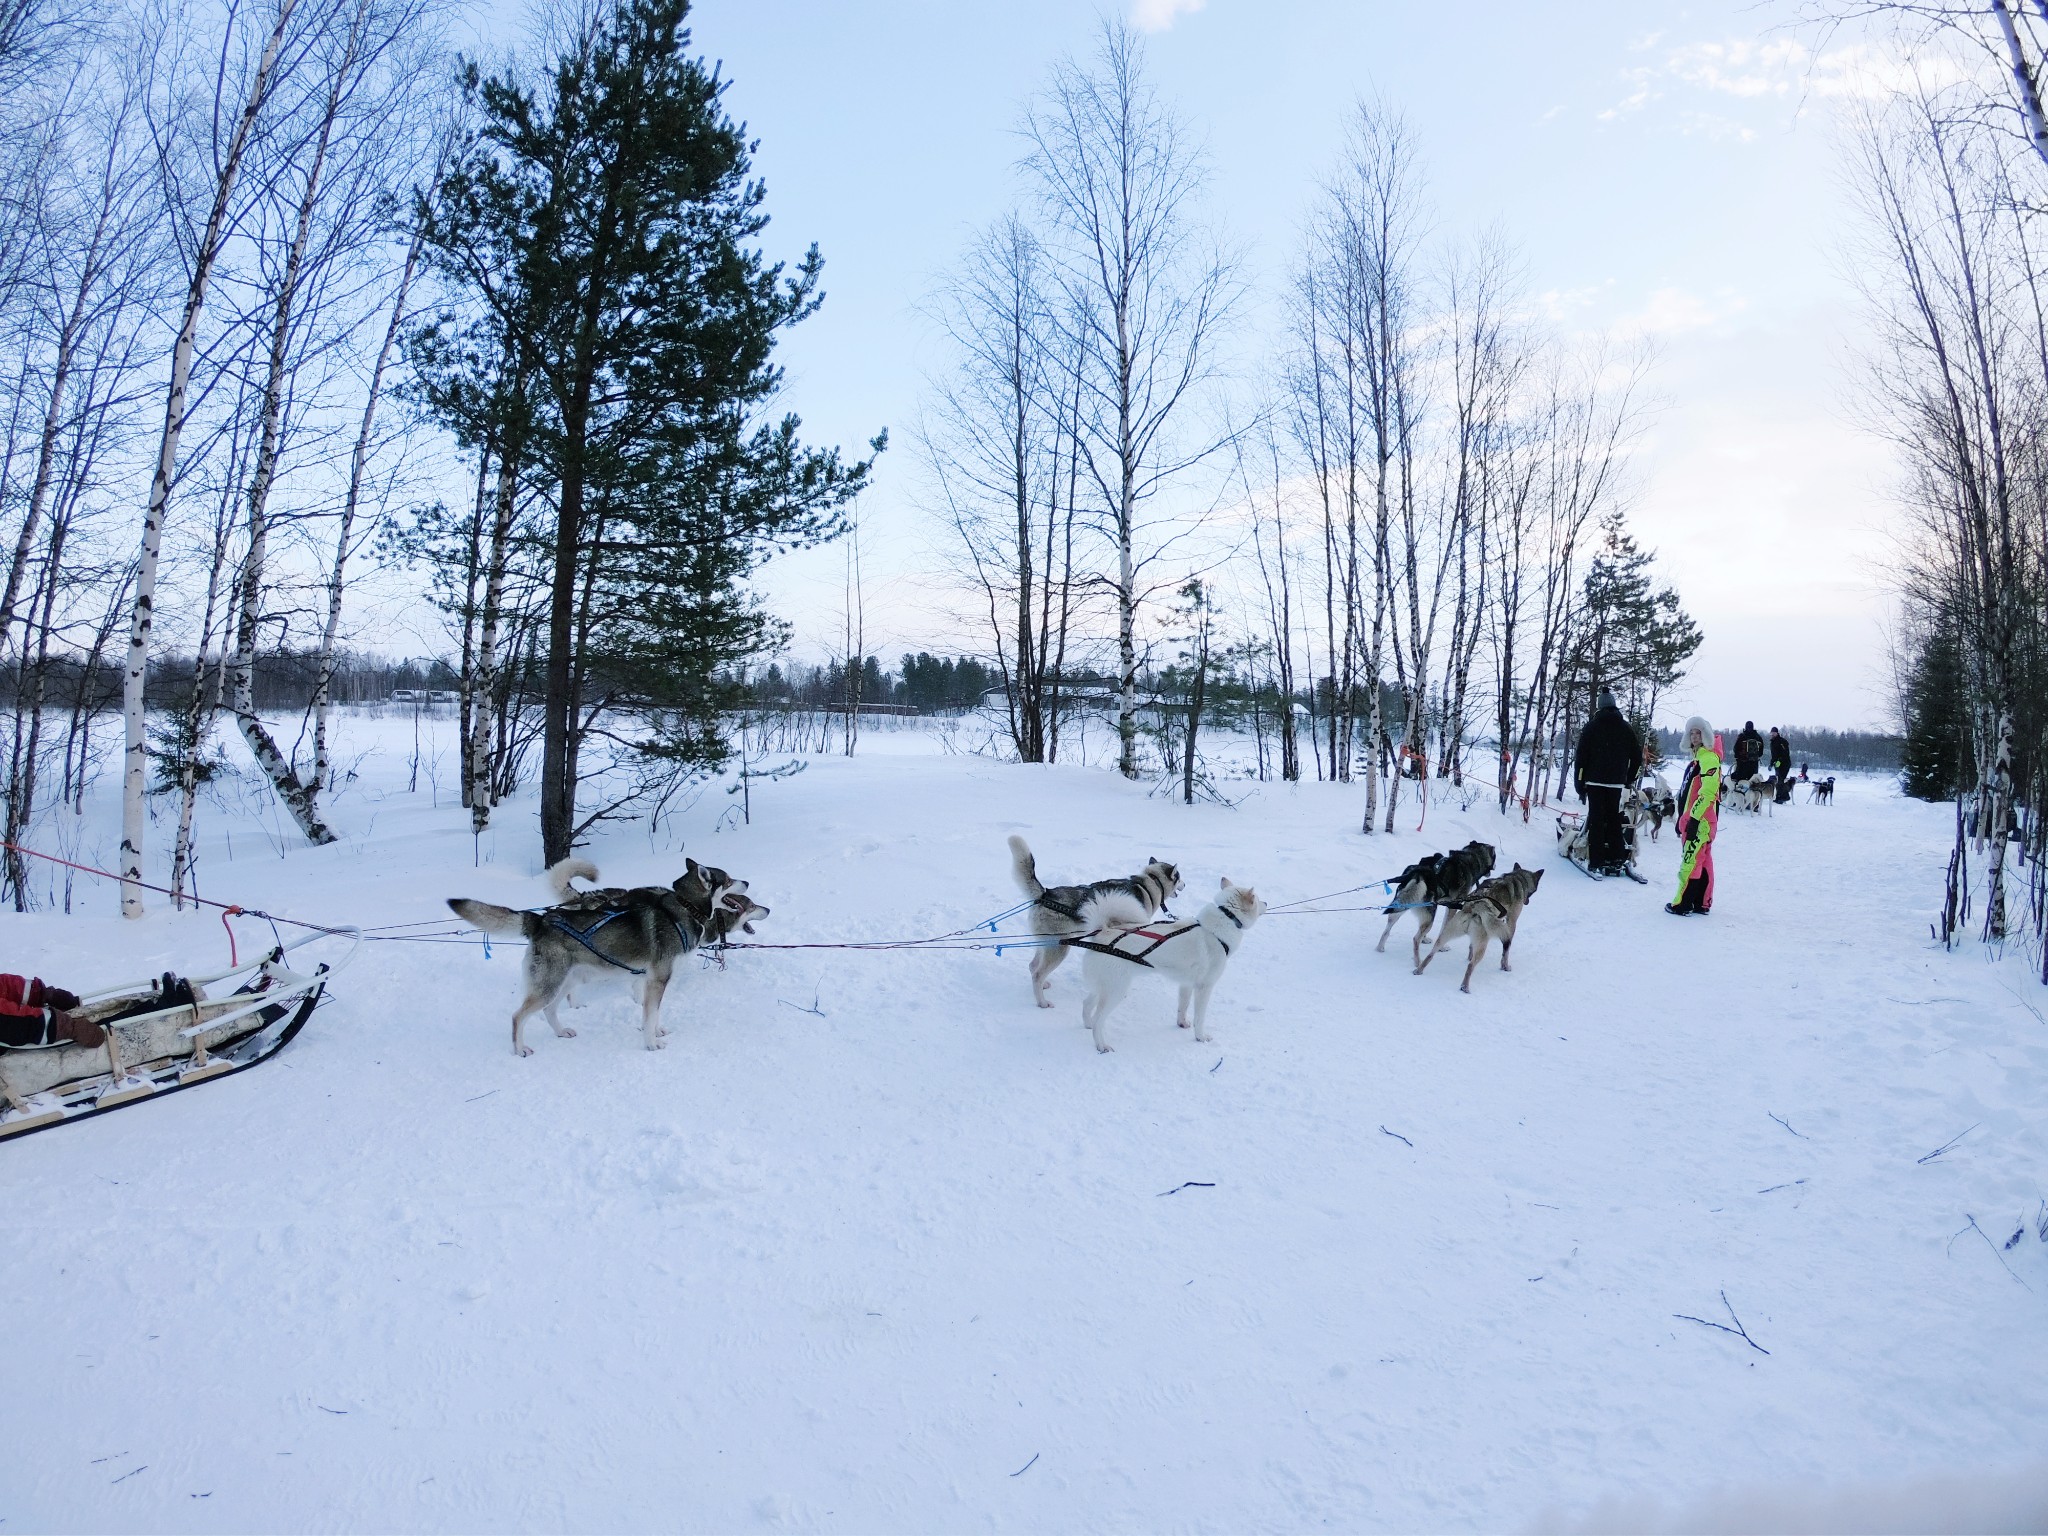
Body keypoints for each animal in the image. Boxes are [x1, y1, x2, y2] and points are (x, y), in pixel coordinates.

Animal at [448, 856, 770, 1056]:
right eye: (728, 880)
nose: (747, 882)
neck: (684, 909)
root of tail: (542, 920)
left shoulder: (652, 981)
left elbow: (653, 1014)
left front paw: (656, 1031)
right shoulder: (657, 981)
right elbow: (649, 1014)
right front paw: (651, 1045)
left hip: (565, 981)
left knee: (549, 1010)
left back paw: (561, 1031)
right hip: (549, 984)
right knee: (518, 1016)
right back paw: (519, 1049)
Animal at [1007, 843, 1187, 1011]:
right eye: (1179, 878)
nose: (1185, 885)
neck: (1150, 884)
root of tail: (1046, 893)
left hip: (1045, 944)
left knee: (1033, 966)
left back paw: (1043, 985)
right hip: (1059, 947)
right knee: (1038, 973)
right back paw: (1042, 1002)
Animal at [1081, 876, 1253, 1056]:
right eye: (1258, 900)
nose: (1264, 903)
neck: (1217, 929)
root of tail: (1103, 933)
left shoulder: (1186, 984)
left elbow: (1182, 1007)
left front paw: (1182, 1023)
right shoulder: (1204, 987)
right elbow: (1199, 1018)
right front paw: (1201, 1037)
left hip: (1103, 987)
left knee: (1087, 1004)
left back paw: (1088, 1024)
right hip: (1116, 991)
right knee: (1098, 1020)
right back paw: (1101, 1045)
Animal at [1417, 868, 1540, 999]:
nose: (1527, 901)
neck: (1516, 879)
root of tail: (1474, 907)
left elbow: (1471, 947)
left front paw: (1469, 956)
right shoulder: (1511, 924)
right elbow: (1506, 951)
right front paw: (1505, 966)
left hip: (1446, 934)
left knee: (1431, 954)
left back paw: (1418, 970)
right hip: (1482, 945)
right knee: (1471, 966)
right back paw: (1464, 987)